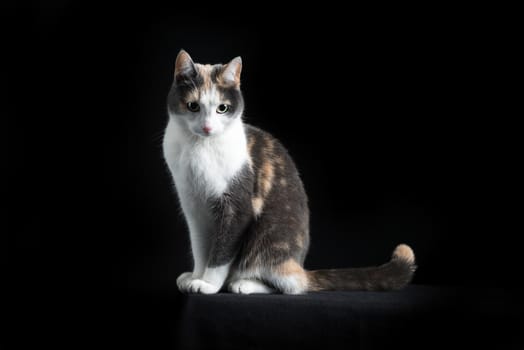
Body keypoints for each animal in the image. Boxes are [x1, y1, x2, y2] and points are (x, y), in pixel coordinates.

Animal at [162, 50, 416, 296]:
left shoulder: (237, 207)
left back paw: (244, 284)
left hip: (269, 238)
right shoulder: (194, 208)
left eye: (222, 108)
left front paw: (208, 284)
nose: (207, 127)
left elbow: (221, 251)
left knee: (289, 284)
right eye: (193, 106)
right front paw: (196, 276)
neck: (200, 147)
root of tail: (299, 265)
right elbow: (200, 248)